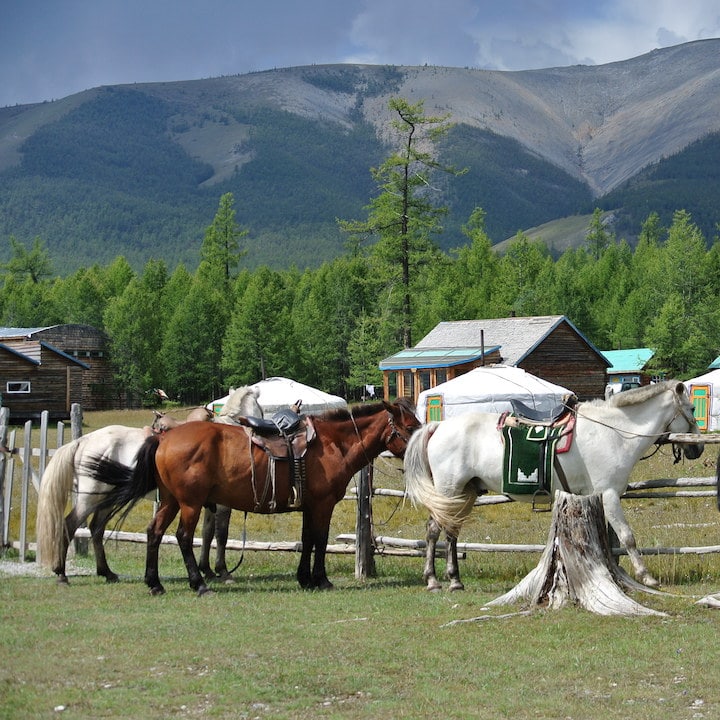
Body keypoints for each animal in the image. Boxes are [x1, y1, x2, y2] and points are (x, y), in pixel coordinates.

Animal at [35, 386, 262, 584]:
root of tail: (84, 440)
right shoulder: (222, 505)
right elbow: (221, 534)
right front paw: (223, 571)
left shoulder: (207, 503)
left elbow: (207, 533)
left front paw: (207, 570)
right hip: (89, 498)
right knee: (70, 525)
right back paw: (62, 574)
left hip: (107, 498)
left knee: (96, 529)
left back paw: (107, 572)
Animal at [84, 400, 420, 596]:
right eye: (410, 426)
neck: (332, 444)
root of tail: (164, 438)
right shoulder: (322, 505)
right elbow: (320, 540)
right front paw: (321, 579)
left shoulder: (309, 506)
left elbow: (307, 540)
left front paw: (305, 579)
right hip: (190, 503)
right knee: (183, 537)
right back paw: (199, 583)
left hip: (170, 501)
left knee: (154, 533)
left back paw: (155, 584)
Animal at [404, 382, 704, 592]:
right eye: (691, 410)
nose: (698, 449)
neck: (613, 432)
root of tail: (438, 426)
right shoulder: (609, 495)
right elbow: (627, 536)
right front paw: (647, 576)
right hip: (449, 490)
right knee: (434, 531)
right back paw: (432, 580)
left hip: (464, 493)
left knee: (452, 532)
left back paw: (455, 580)